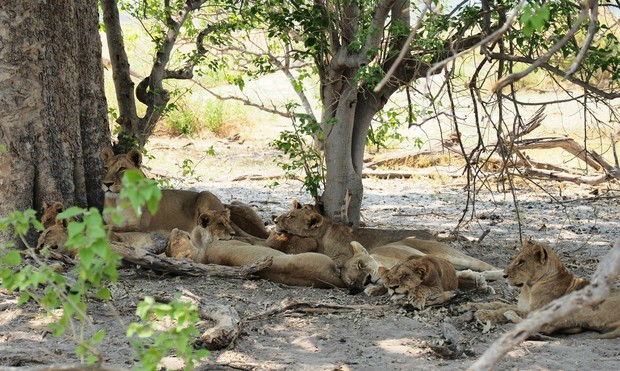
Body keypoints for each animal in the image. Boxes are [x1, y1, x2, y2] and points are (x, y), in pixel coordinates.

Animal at [100, 147, 268, 238]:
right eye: (105, 168)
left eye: (122, 169)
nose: (106, 184)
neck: (117, 200)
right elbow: (107, 225)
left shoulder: (140, 226)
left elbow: (113, 228)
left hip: (205, 194)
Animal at [340, 241, 504, 296]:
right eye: (352, 282)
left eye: (360, 264)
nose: (367, 281)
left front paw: (479, 281)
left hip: (455, 257)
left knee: (487, 267)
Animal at [462, 241, 620, 340]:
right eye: (515, 259)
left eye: (521, 262)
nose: (504, 275)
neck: (528, 288)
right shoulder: (524, 306)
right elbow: (497, 303)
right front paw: (469, 305)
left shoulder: (537, 309)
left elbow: (502, 309)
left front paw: (483, 314)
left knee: (546, 327)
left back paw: (510, 315)